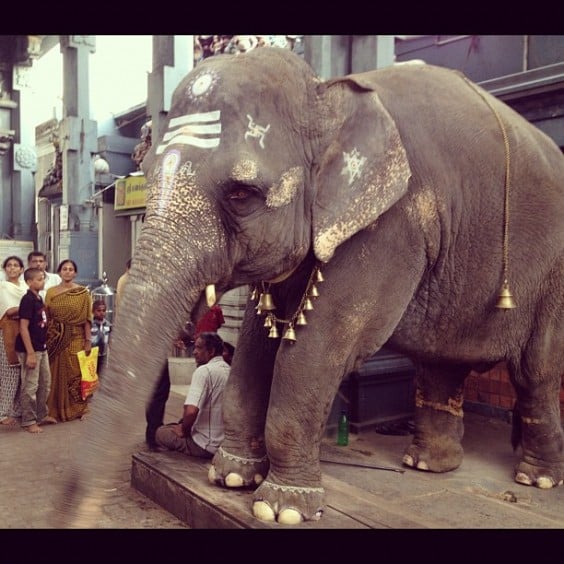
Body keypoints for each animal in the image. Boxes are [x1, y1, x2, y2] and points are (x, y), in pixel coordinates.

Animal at [58, 46, 564, 528]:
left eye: (241, 194)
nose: (72, 507)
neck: (328, 95)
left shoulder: (390, 225)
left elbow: (318, 346)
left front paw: (280, 509)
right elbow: (259, 341)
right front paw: (232, 476)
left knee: (537, 370)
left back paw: (534, 479)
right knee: (443, 362)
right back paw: (426, 465)